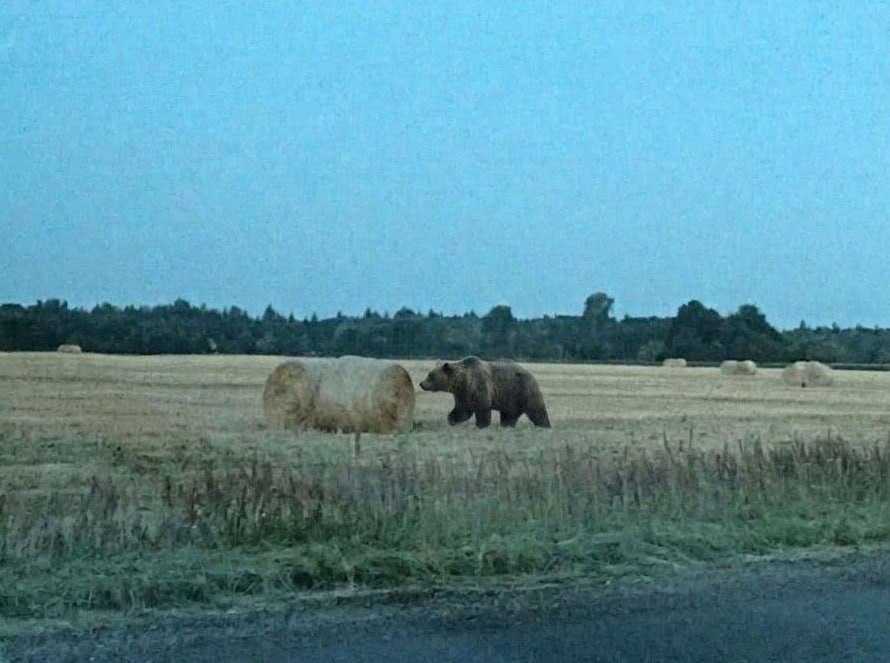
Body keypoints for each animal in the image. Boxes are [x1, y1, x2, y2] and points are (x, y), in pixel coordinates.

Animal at [419, 356, 551, 429]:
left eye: (430, 375)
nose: (422, 384)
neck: (463, 381)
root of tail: (530, 374)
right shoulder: (463, 394)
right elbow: (462, 410)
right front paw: (452, 419)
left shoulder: (479, 385)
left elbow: (482, 408)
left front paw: (481, 425)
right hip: (510, 399)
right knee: (509, 415)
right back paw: (507, 425)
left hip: (523, 390)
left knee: (536, 410)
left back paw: (545, 426)